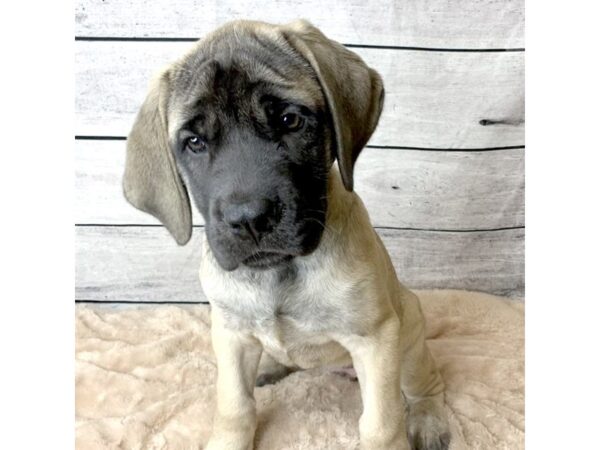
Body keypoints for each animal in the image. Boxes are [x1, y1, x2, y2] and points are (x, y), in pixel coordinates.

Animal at [123, 19, 450, 448]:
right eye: (194, 142)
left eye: (289, 121)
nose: (248, 219)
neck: (279, 274)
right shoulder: (229, 333)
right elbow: (234, 406)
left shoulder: (375, 339)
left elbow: (381, 423)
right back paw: (270, 366)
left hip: (409, 337)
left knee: (426, 385)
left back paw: (429, 421)